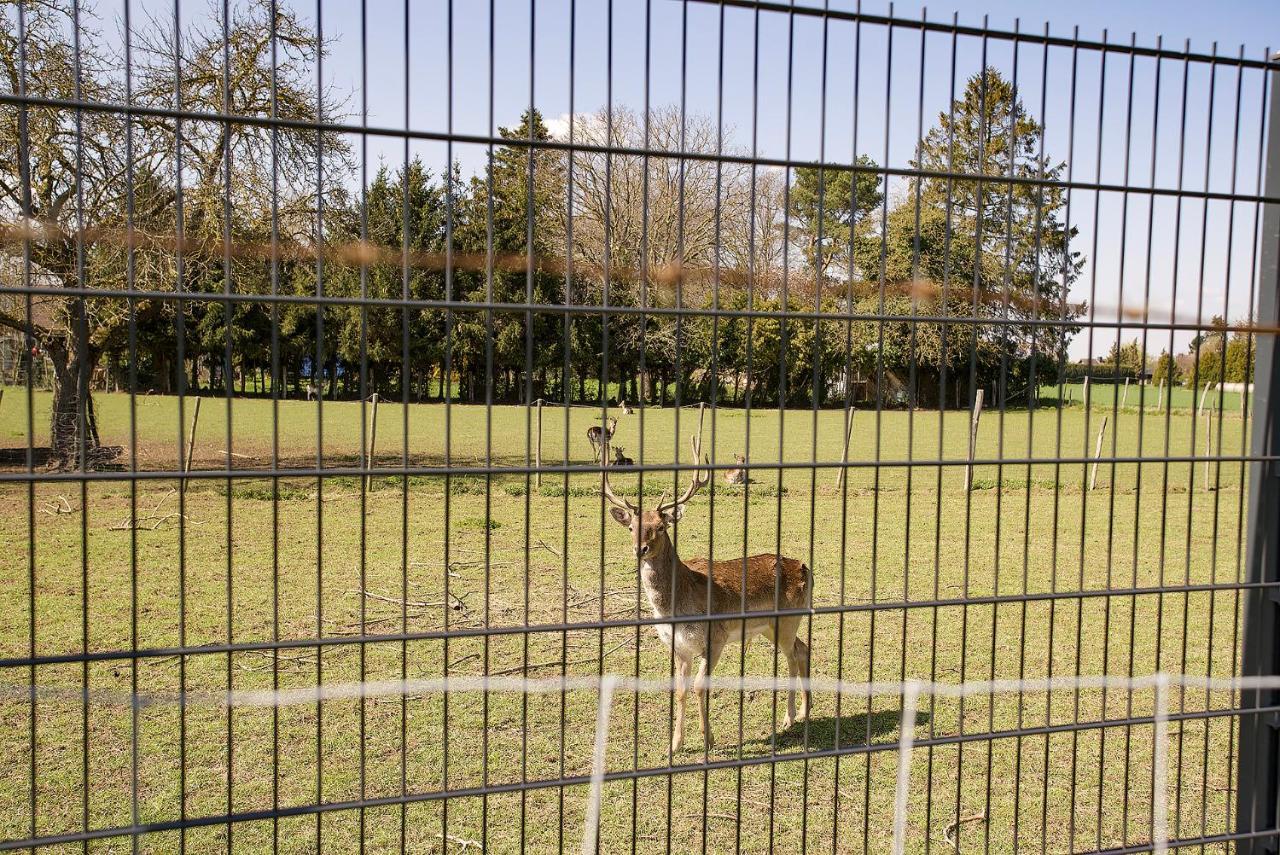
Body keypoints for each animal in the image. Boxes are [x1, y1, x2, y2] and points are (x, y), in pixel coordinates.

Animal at [599, 435, 808, 747]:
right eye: (631, 527)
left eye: (661, 527)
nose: (641, 549)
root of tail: (805, 568)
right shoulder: (678, 647)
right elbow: (680, 689)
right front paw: (675, 744)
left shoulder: (716, 638)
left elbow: (699, 687)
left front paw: (707, 738)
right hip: (771, 627)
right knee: (803, 648)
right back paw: (805, 711)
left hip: (788, 620)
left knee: (792, 657)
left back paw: (789, 718)